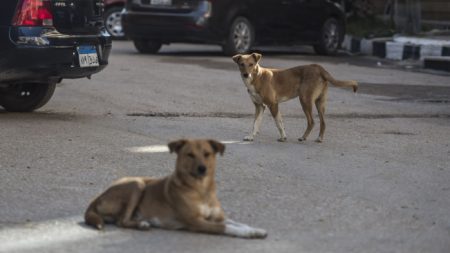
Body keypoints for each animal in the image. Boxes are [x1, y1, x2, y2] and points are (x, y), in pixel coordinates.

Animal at [85, 138, 268, 239]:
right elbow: (227, 228)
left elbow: (238, 223)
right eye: (190, 155)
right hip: (137, 184)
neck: (201, 190)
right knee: (121, 221)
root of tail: (96, 198)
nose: (202, 168)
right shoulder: (196, 222)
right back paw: (142, 224)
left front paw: (255, 231)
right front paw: (247, 234)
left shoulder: (217, 217)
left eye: (207, 154)